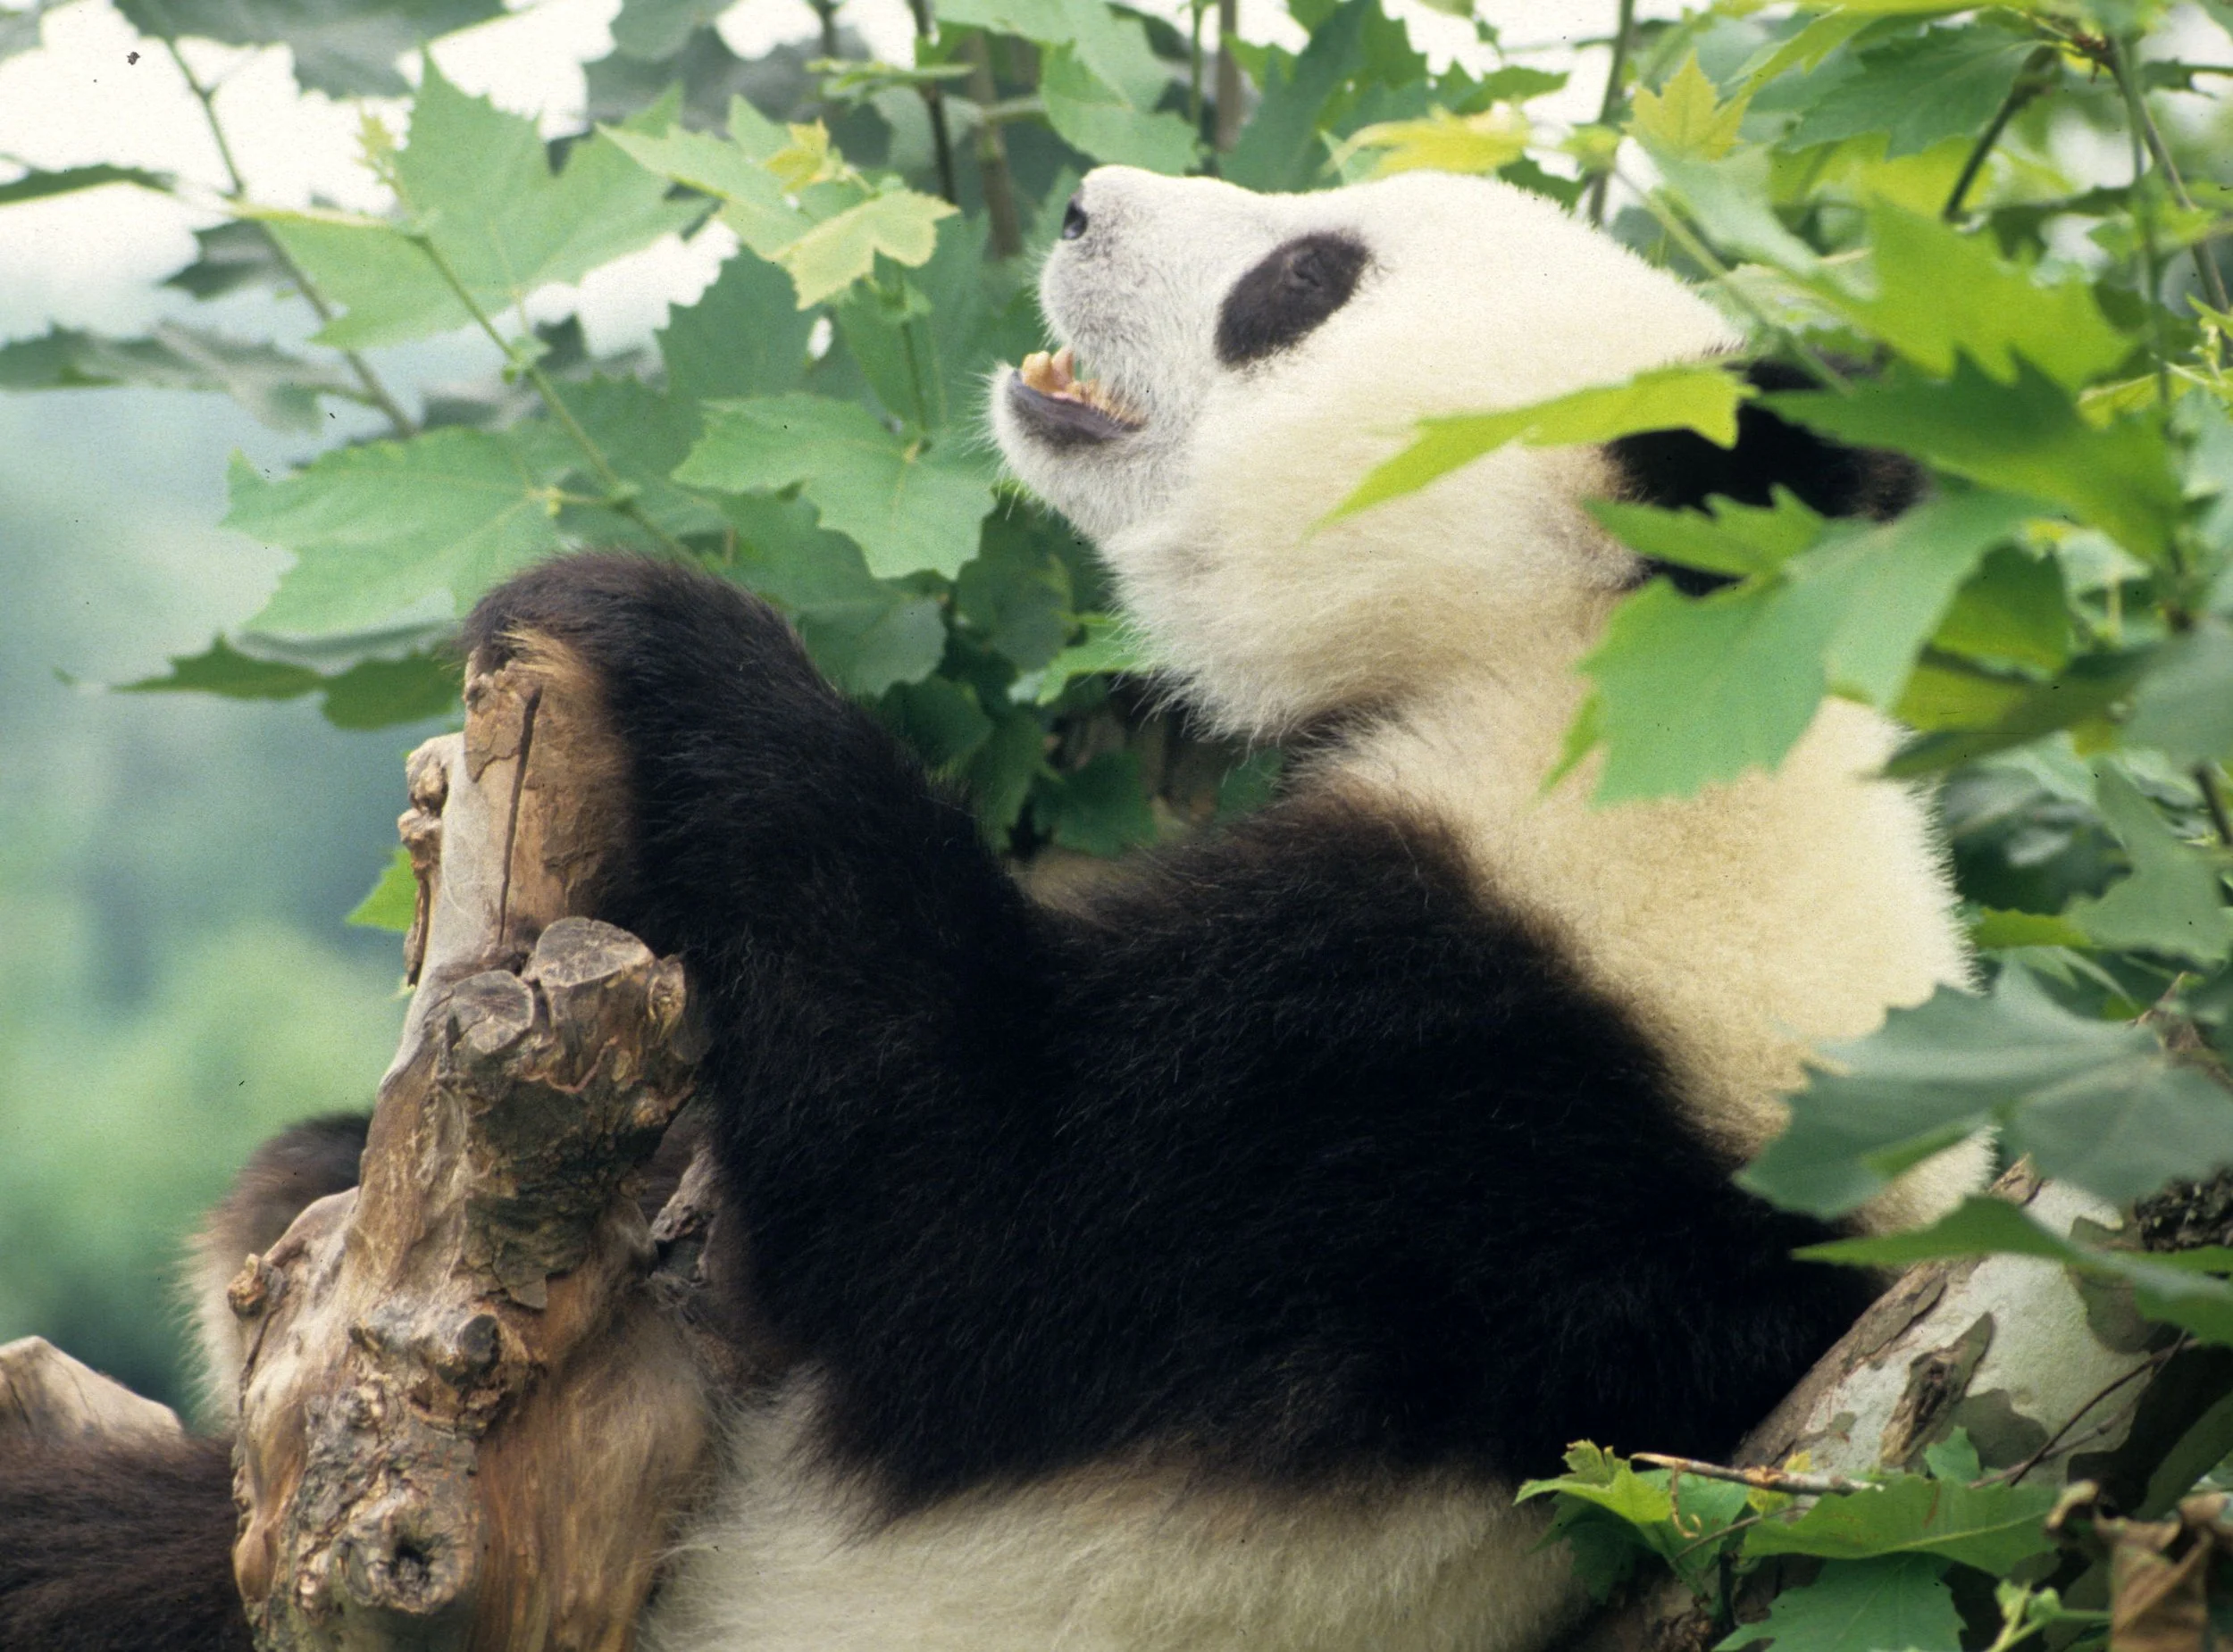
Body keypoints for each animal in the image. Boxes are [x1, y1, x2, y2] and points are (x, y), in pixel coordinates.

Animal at [0, 165, 1983, 1652]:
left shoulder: (1453, 1083)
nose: (1090, 197)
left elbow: (960, 1204)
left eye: (1304, 280)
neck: (1626, 691)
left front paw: (652, 630)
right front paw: (311, 1162)